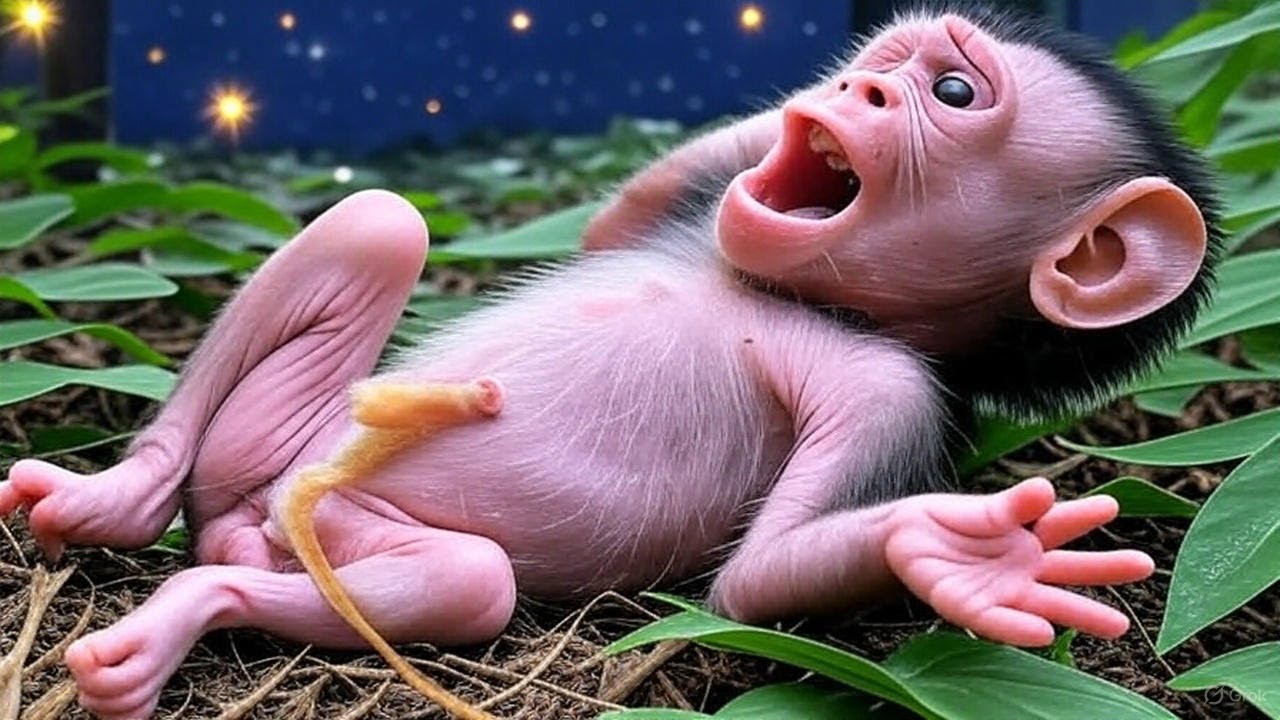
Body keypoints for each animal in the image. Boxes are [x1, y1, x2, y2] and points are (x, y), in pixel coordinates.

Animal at [0, 5, 1219, 719]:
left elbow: (755, 581)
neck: (805, 293)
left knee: (459, 579)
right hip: (278, 444)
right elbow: (610, 226)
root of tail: (268, 507)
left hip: (335, 529)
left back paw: (174, 615)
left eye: (953, 93)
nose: (857, 89)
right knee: (379, 223)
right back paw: (111, 500)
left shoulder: (891, 393)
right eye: (892, 65)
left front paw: (969, 553)